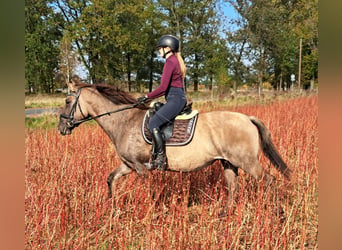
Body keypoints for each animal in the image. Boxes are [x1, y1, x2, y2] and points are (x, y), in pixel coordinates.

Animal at [58, 79, 292, 214]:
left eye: (68, 101)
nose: (61, 128)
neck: (124, 121)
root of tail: (247, 118)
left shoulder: (140, 167)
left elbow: (148, 190)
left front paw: (152, 212)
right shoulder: (128, 165)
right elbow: (110, 179)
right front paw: (113, 208)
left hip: (247, 162)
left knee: (268, 180)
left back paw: (276, 212)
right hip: (228, 162)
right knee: (233, 186)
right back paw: (224, 214)